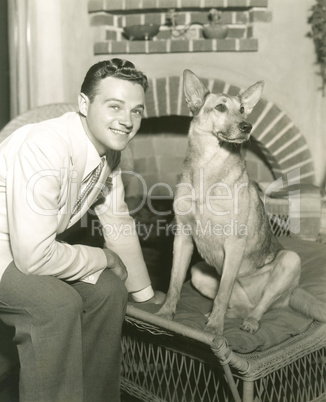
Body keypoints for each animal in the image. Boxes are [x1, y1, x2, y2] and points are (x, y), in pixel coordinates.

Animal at [157, 70, 326, 336]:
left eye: (243, 110)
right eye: (220, 107)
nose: (248, 126)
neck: (208, 168)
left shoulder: (234, 243)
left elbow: (223, 291)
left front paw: (214, 330)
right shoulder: (183, 237)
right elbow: (174, 282)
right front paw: (166, 314)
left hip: (290, 261)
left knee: (261, 306)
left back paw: (249, 321)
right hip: (198, 273)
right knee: (235, 306)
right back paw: (228, 314)